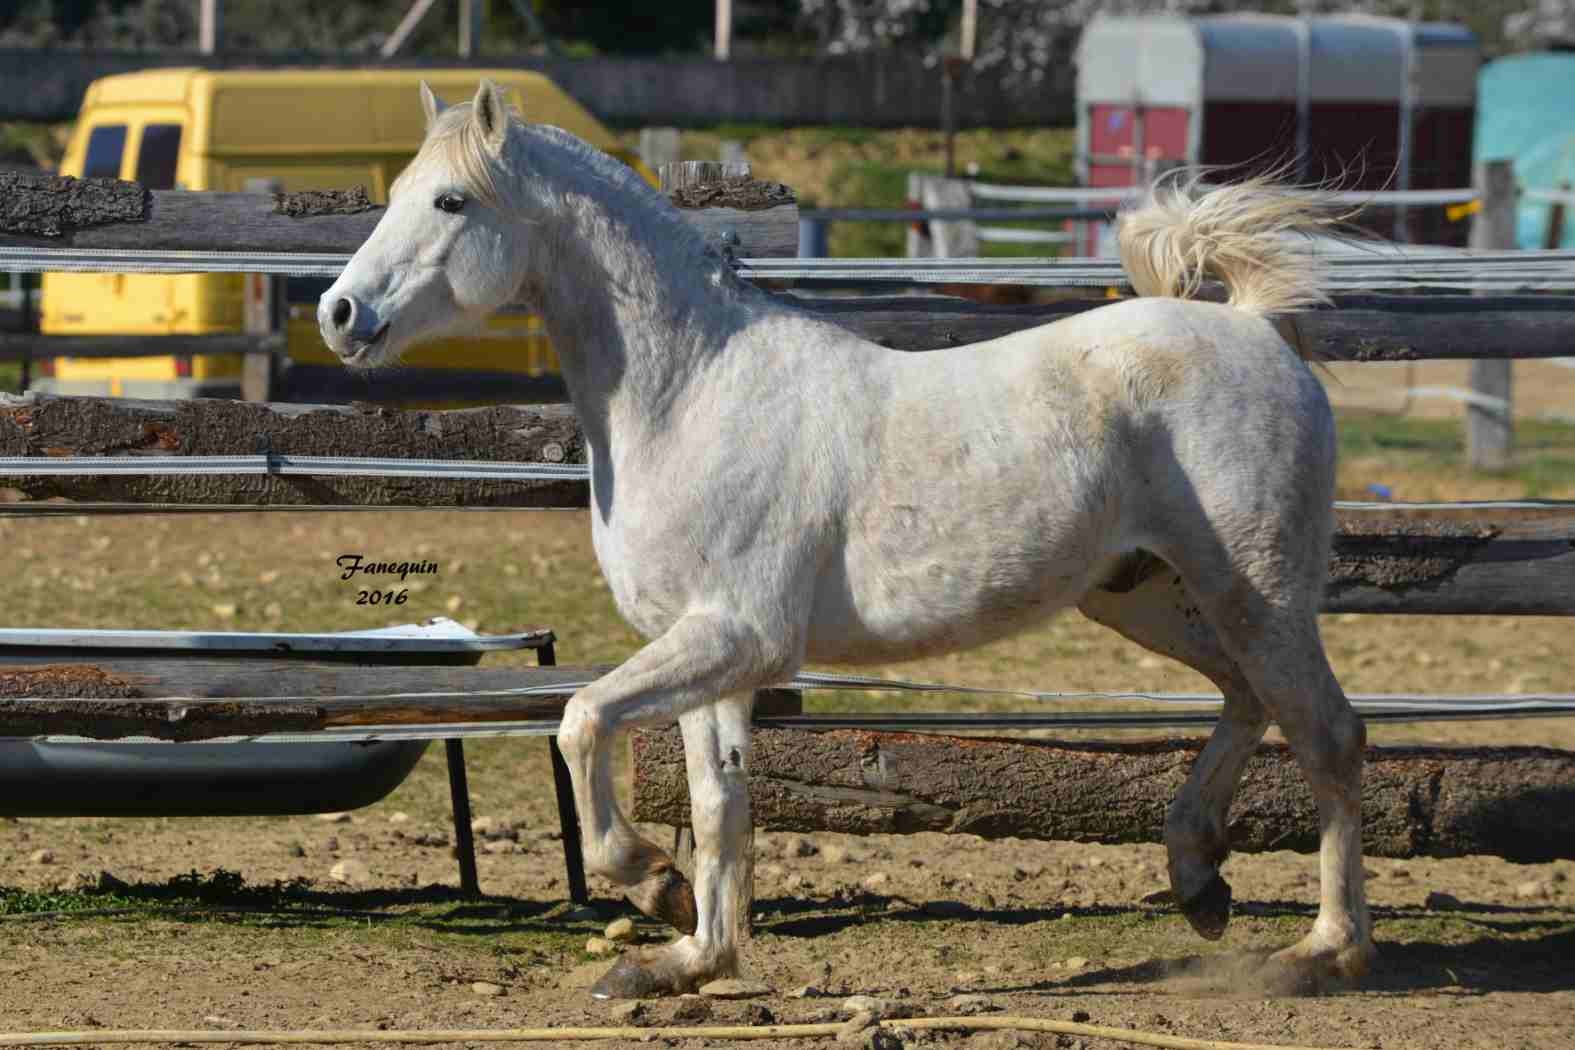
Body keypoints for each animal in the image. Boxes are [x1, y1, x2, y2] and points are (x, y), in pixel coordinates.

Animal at [322, 82, 1379, 1001]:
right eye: (398, 193)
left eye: (450, 199)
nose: (340, 314)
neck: (689, 393)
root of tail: (1253, 330)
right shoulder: (707, 654)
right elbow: (717, 805)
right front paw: (686, 958)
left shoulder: (738, 638)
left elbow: (583, 721)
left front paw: (650, 879)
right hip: (1144, 593)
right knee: (1249, 699)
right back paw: (1198, 879)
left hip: (1254, 589)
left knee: (1327, 734)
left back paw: (1322, 952)